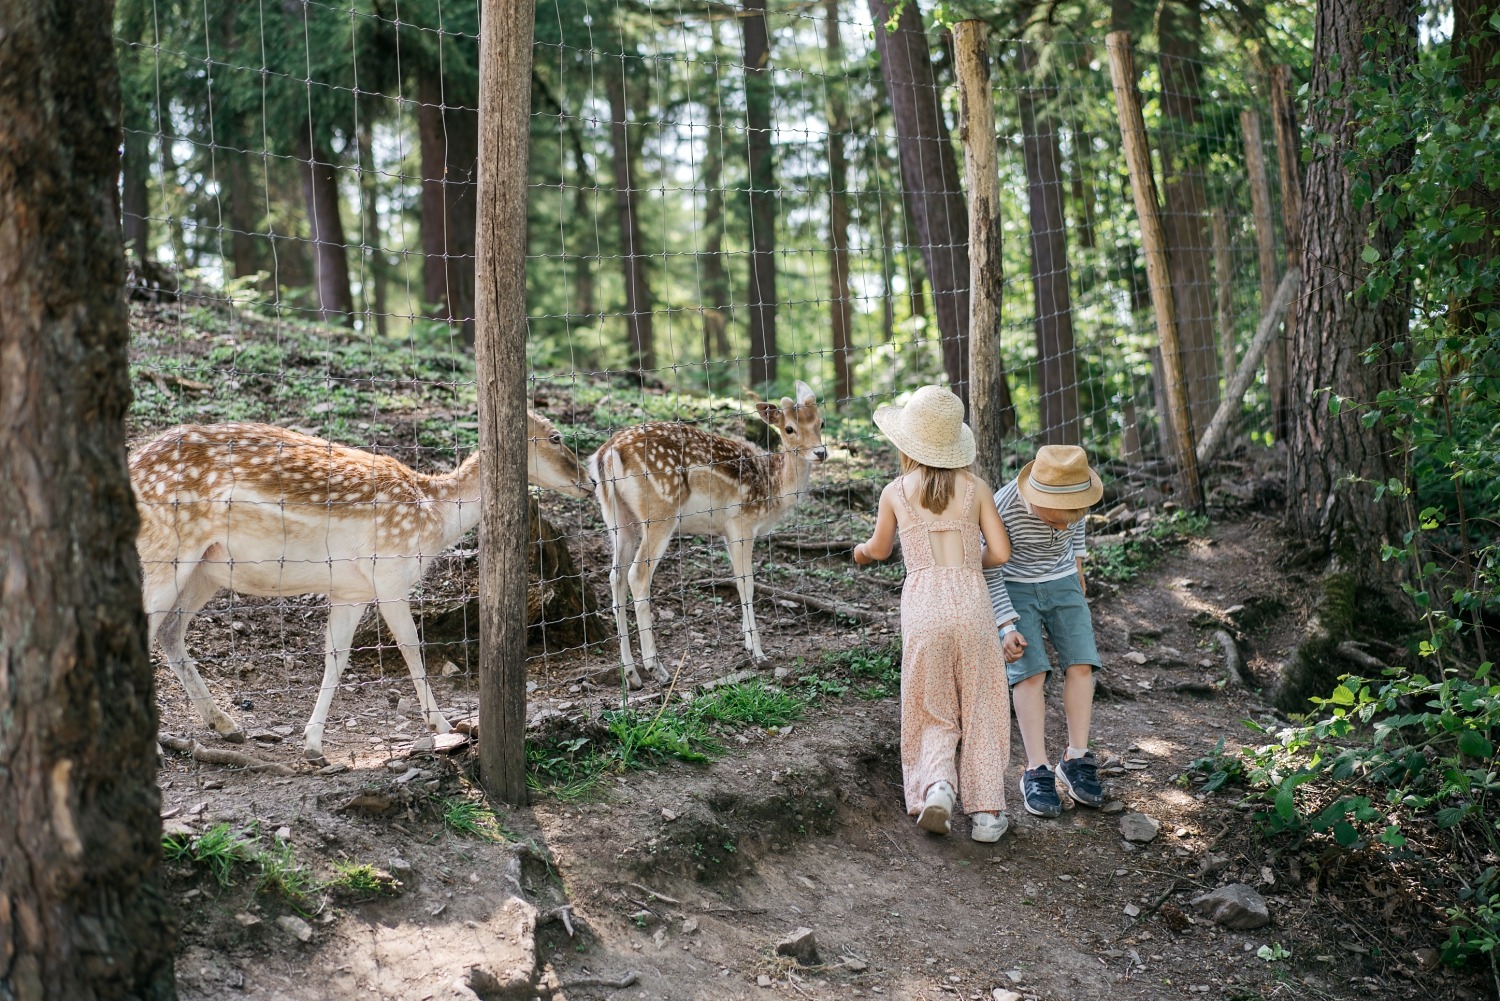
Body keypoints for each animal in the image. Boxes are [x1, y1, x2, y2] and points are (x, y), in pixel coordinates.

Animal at [130, 411, 585, 762]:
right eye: (557, 436)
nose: (588, 481)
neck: (434, 518)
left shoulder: (351, 592)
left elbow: (336, 655)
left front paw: (313, 743)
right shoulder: (390, 573)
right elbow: (411, 646)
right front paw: (442, 724)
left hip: (205, 571)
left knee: (169, 631)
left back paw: (227, 725)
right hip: (165, 552)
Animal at [588, 379, 834, 684]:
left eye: (821, 422)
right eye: (789, 428)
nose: (820, 452)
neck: (772, 487)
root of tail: (607, 454)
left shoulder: (726, 532)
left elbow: (739, 582)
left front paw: (748, 644)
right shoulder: (742, 522)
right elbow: (747, 582)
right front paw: (759, 654)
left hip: (617, 517)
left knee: (616, 576)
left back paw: (631, 674)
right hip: (659, 511)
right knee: (638, 575)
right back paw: (656, 668)